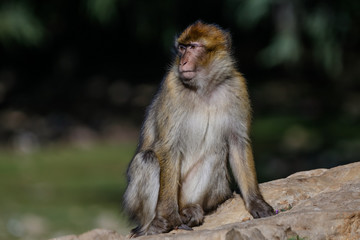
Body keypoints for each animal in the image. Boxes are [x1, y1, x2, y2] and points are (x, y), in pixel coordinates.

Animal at [122, 21, 274, 238]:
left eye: (193, 47)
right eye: (182, 48)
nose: (183, 62)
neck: (205, 87)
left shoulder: (238, 86)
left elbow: (238, 142)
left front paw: (256, 201)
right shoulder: (172, 86)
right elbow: (168, 146)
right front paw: (170, 218)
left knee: (216, 154)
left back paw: (191, 209)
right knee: (147, 159)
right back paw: (154, 226)